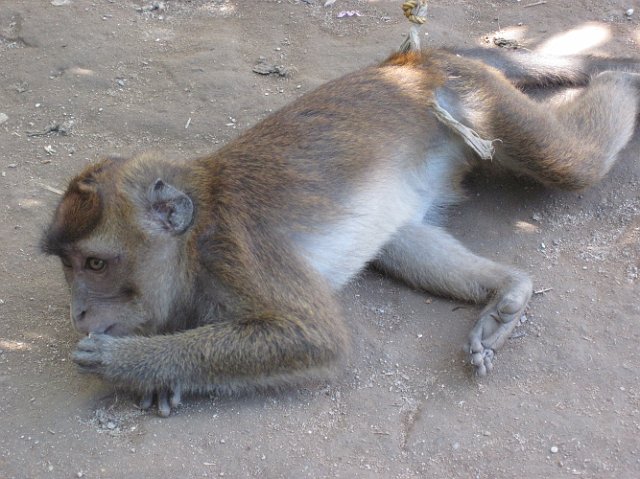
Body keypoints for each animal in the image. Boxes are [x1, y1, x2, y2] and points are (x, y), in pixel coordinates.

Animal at [42, 46, 640, 416]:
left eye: (95, 263)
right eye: (68, 266)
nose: (78, 313)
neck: (194, 239)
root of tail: (407, 61)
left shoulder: (237, 249)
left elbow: (311, 336)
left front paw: (128, 363)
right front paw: (159, 375)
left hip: (476, 98)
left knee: (573, 164)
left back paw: (620, 78)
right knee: (398, 239)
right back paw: (506, 290)